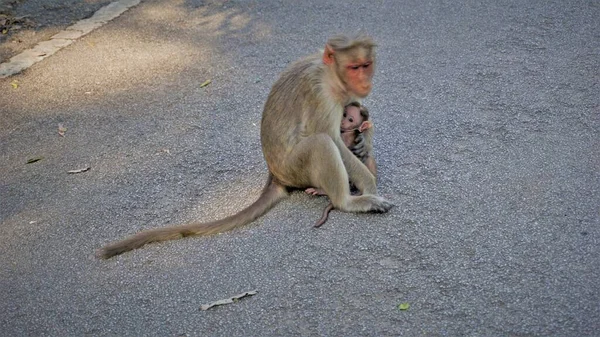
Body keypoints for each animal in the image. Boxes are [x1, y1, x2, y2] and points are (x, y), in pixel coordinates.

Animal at [96, 34, 392, 258]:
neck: (330, 75)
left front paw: (364, 135)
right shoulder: (320, 93)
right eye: (354, 67)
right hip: (296, 168)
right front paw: (369, 184)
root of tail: (275, 175)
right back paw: (348, 202)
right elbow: (332, 138)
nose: (364, 80)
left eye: (366, 65)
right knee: (321, 143)